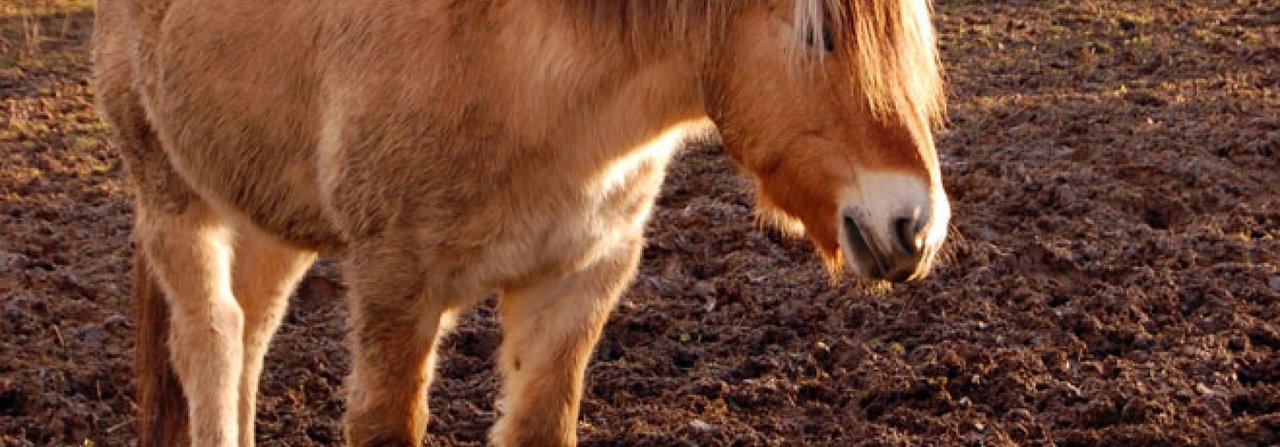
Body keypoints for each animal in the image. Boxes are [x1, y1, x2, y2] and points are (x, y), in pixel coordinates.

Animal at [92, 0, 952, 443]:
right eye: (817, 32)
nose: (914, 225)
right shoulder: (395, 287)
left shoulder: (575, 280)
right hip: (175, 197)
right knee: (210, 341)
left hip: (267, 213)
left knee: (251, 333)